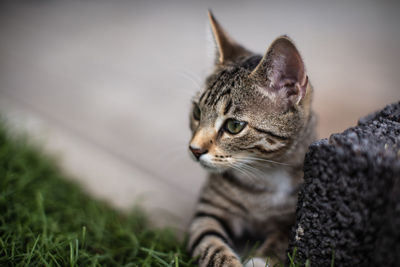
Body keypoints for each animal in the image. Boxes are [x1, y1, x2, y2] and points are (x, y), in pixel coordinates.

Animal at [187, 11, 316, 267]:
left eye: (234, 126)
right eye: (197, 112)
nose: (194, 149)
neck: (263, 177)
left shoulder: (296, 220)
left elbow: (284, 240)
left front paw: (261, 259)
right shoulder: (208, 213)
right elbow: (210, 245)